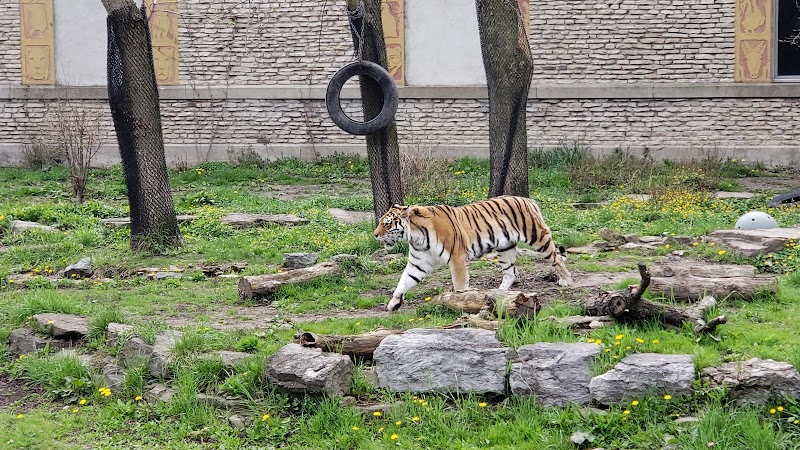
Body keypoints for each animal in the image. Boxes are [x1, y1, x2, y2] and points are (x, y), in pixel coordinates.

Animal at [374, 195, 573, 311]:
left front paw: (460, 302)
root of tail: (529, 200)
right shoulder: (418, 263)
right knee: (511, 273)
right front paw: (393, 303)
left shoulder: (457, 259)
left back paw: (566, 280)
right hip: (505, 247)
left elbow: (460, 286)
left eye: (387, 224)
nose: (375, 235)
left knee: (556, 258)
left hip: (537, 237)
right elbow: (404, 281)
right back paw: (498, 294)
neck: (415, 236)